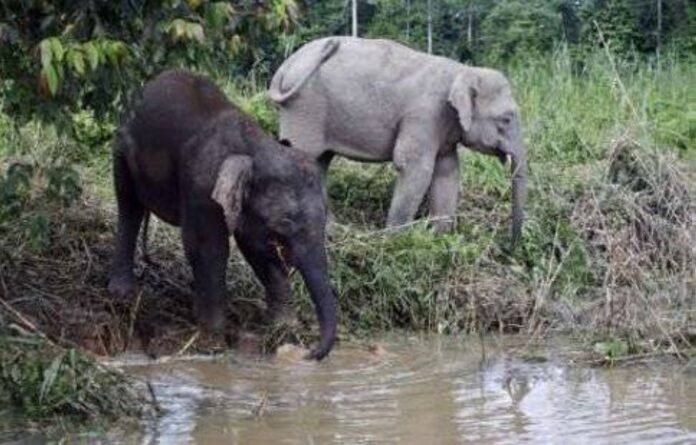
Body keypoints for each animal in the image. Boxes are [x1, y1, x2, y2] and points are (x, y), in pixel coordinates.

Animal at [108, 69, 337, 360]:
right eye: (285, 222)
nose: (308, 353)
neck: (255, 147)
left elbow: (257, 249)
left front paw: (284, 328)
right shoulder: (202, 187)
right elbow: (208, 248)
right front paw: (213, 340)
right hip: (122, 148)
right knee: (129, 205)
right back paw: (122, 294)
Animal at [268, 37, 527, 244]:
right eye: (506, 119)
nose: (509, 245)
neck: (462, 70)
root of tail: (285, 66)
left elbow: (448, 171)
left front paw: (439, 238)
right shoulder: (424, 115)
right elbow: (414, 168)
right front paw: (395, 240)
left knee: (320, 162)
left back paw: (331, 229)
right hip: (303, 108)